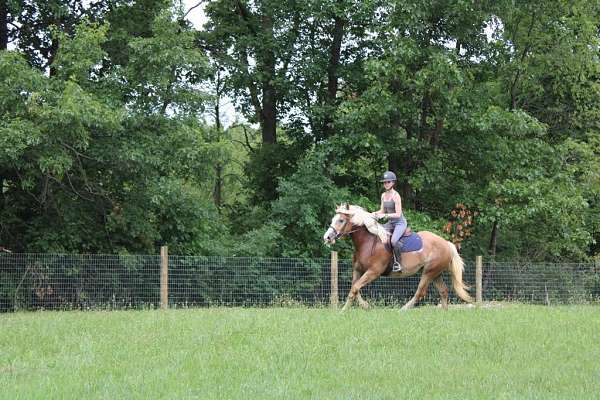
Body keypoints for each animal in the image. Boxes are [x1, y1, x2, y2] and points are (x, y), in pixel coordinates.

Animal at [324, 202, 474, 310]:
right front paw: (358, 307)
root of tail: (446, 243)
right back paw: (444, 312)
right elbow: (354, 289)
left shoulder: (373, 272)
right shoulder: (358, 269)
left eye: (341, 220)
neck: (368, 242)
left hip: (429, 272)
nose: (327, 237)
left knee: (420, 292)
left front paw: (346, 310)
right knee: (443, 291)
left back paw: (403, 310)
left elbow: (355, 288)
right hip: (436, 273)